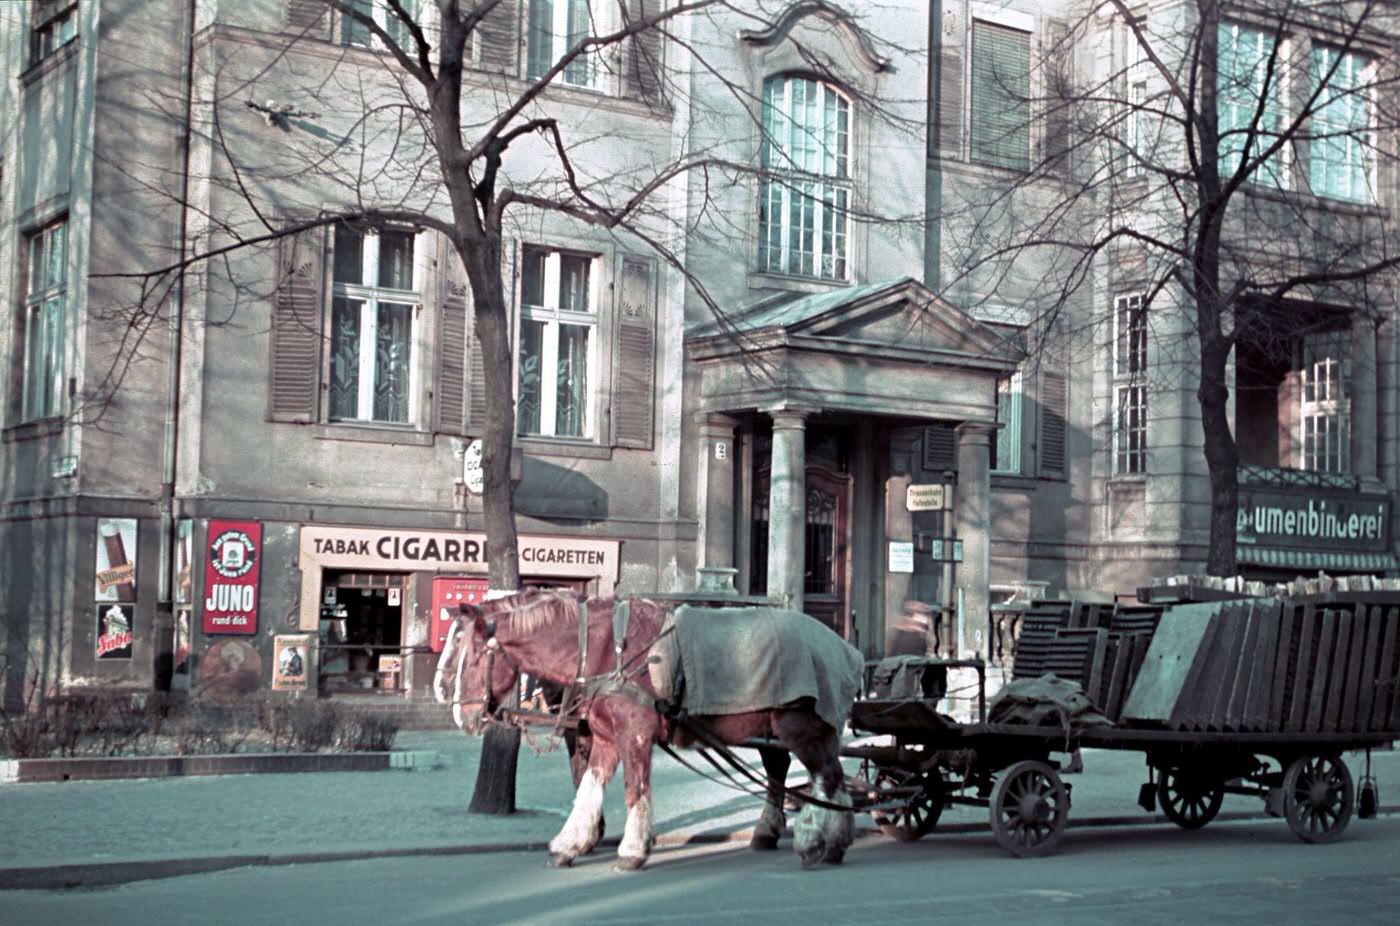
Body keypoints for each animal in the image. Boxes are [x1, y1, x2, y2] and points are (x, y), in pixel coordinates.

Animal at [434, 588, 862, 868]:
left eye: (471, 657)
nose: (457, 712)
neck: (604, 649)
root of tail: (846, 648)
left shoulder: (634, 734)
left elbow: (634, 787)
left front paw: (633, 849)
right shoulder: (605, 736)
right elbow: (590, 786)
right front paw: (570, 844)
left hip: (802, 725)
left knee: (826, 777)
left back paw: (815, 840)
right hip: (776, 728)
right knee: (794, 774)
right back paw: (805, 837)